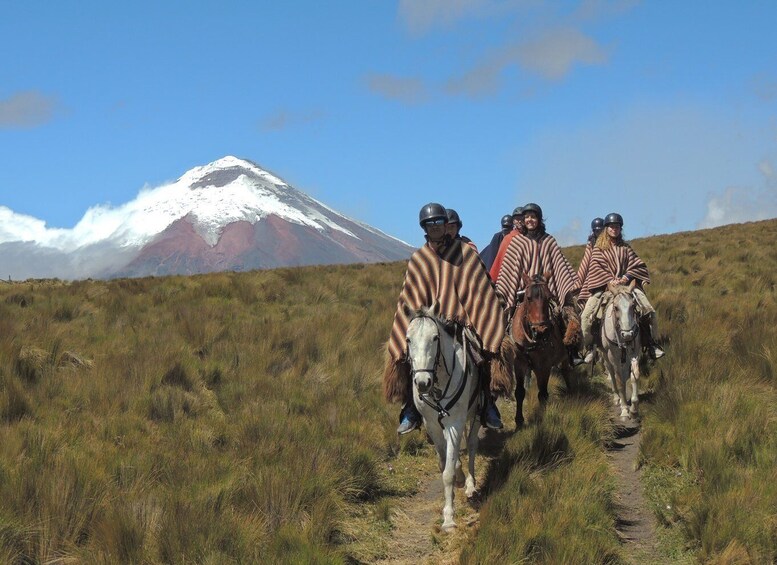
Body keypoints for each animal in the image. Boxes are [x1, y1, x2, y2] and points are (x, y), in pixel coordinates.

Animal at [406, 304, 478, 528]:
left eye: (435, 338)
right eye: (408, 339)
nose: (422, 383)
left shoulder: (455, 423)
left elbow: (448, 473)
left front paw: (448, 518)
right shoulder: (432, 425)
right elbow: (444, 462)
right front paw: (458, 477)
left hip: (476, 413)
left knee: (472, 444)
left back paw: (471, 484)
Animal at [506, 270, 572, 426]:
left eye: (549, 297)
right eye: (528, 298)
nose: (541, 330)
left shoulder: (544, 366)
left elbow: (542, 393)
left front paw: (542, 418)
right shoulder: (520, 364)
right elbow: (520, 392)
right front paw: (519, 420)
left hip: (563, 358)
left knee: (565, 371)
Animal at [596, 280, 640, 418]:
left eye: (633, 305)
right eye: (616, 308)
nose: (628, 334)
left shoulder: (635, 353)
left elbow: (634, 376)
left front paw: (634, 408)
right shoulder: (613, 357)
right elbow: (620, 381)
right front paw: (625, 409)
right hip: (606, 355)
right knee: (611, 373)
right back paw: (616, 397)